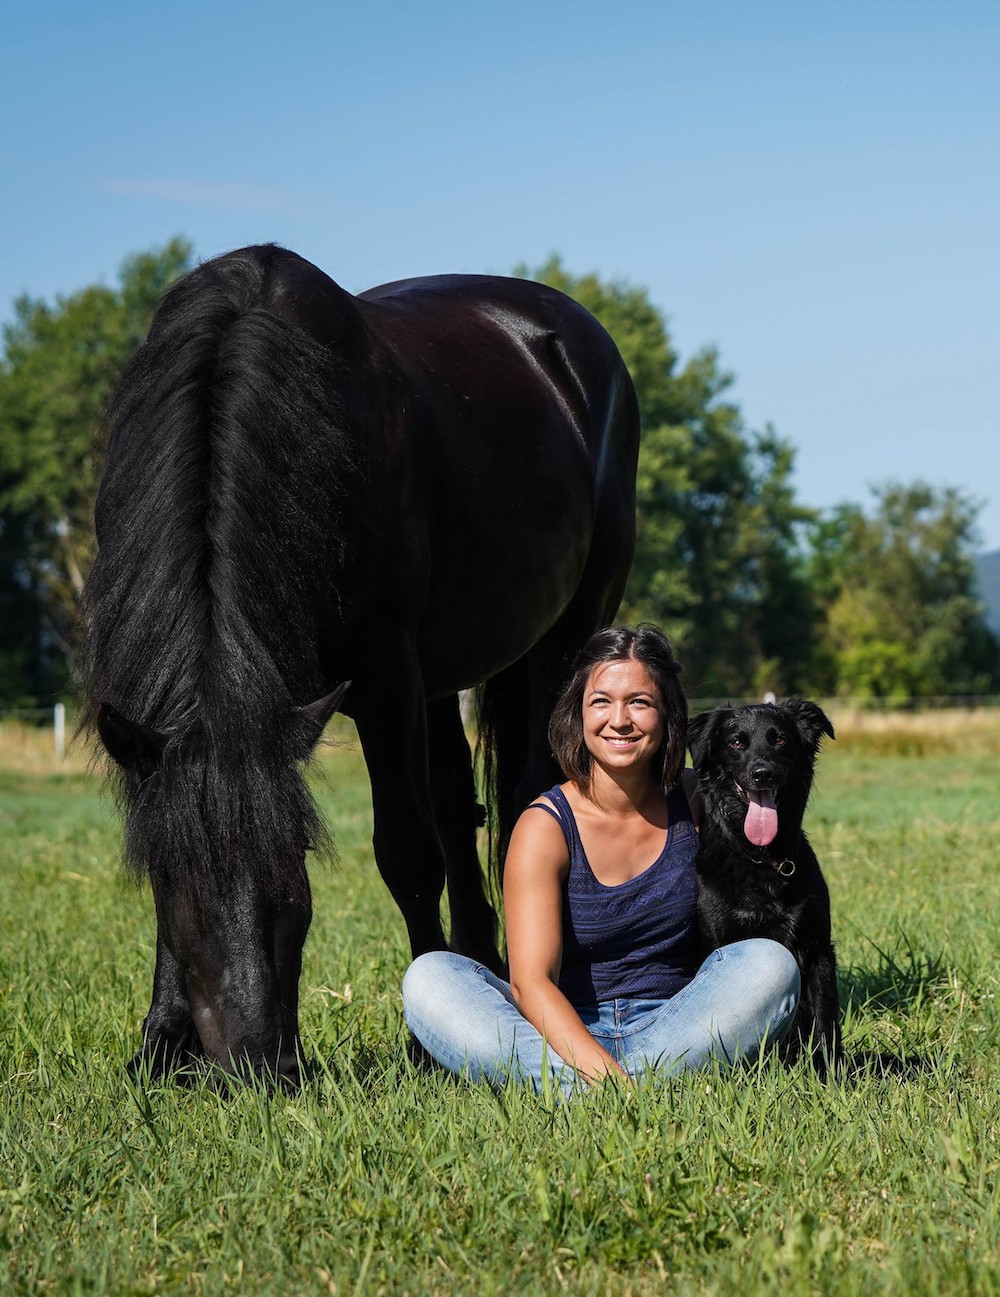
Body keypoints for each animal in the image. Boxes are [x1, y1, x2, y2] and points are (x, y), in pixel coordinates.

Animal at [82, 243, 638, 1084]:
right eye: (186, 883)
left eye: (295, 871)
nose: (258, 1063)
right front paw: (160, 1043)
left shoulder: (386, 679)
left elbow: (406, 851)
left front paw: (423, 1041)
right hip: (447, 670)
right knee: (459, 803)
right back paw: (480, 969)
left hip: (569, 631)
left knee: (525, 798)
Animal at [684, 705, 840, 1068]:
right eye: (736, 743)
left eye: (780, 740)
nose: (762, 774)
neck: (761, 859)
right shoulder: (723, 943)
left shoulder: (819, 950)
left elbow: (825, 1022)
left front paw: (829, 1074)